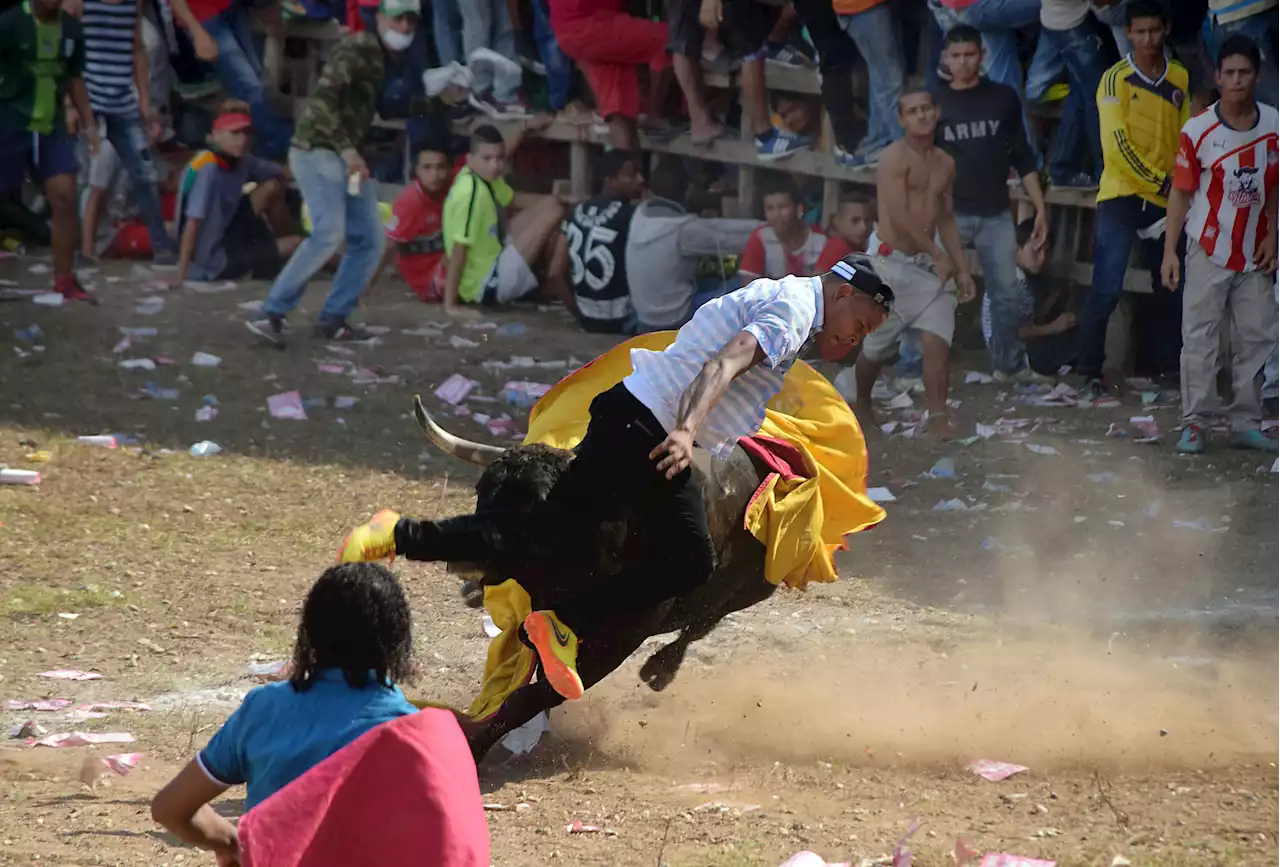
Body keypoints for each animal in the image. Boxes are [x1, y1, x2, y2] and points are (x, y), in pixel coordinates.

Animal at [419, 394, 778, 763]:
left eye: (537, 503)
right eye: (482, 489)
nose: (464, 556)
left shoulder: (616, 643)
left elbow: (533, 695)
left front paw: (477, 749)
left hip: (756, 589)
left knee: (703, 621)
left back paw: (659, 670)